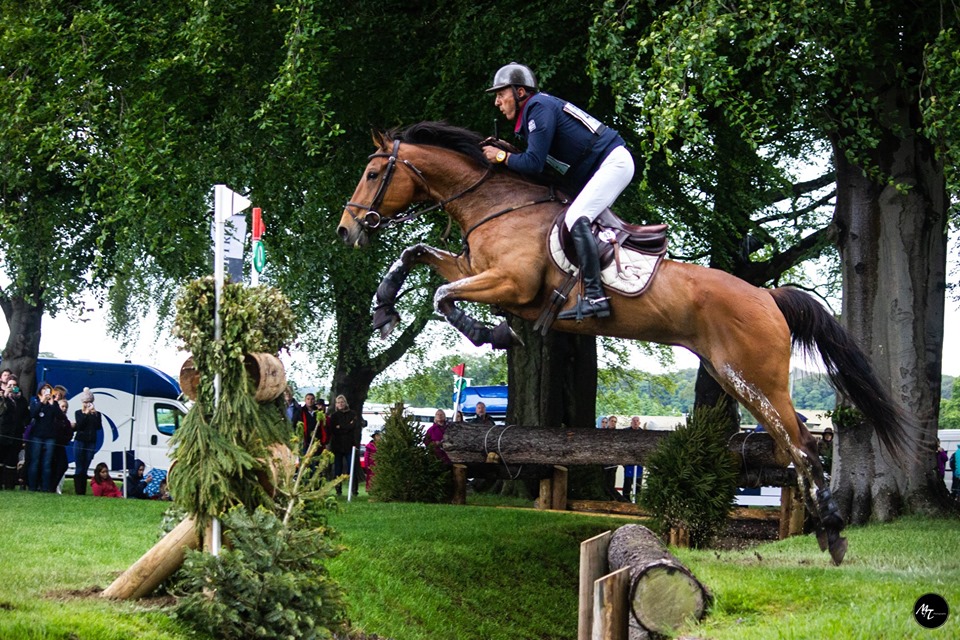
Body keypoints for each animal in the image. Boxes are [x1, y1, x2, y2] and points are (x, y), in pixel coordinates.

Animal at [338, 120, 908, 560]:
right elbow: (416, 254)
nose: (347, 231)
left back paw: (832, 534)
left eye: (372, 173)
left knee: (803, 444)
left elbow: (441, 294)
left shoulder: (511, 284)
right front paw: (384, 306)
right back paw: (824, 532)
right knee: (794, 443)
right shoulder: (477, 270)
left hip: (756, 378)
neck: (496, 204)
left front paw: (491, 332)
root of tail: (766, 295)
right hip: (736, 378)